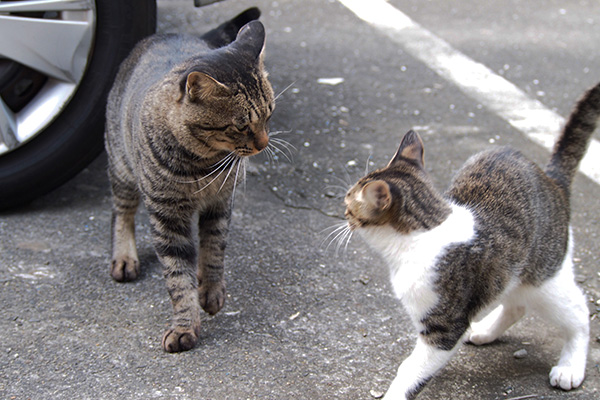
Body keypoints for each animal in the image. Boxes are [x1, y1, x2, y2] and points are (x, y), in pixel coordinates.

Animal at [104, 8, 274, 354]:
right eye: (240, 126)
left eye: (270, 114)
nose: (263, 144)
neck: (203, 165)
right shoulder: (166, 216)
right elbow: (177, 275)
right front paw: (185, 325)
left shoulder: (220, 204)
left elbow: (213, 251)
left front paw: (210, 292)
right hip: (121, 166)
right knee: (121, 211)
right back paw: (124, 256)